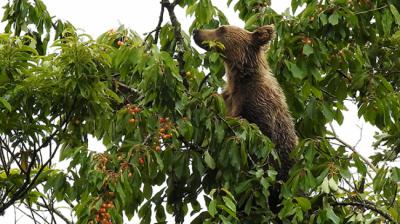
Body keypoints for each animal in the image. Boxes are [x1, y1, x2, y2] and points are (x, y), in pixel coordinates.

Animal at [194, 24, 296, 214]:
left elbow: (261, 135)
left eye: (221, 28)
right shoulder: (228, 100)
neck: (241, 79)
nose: (197, 32)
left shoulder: (258, 104)